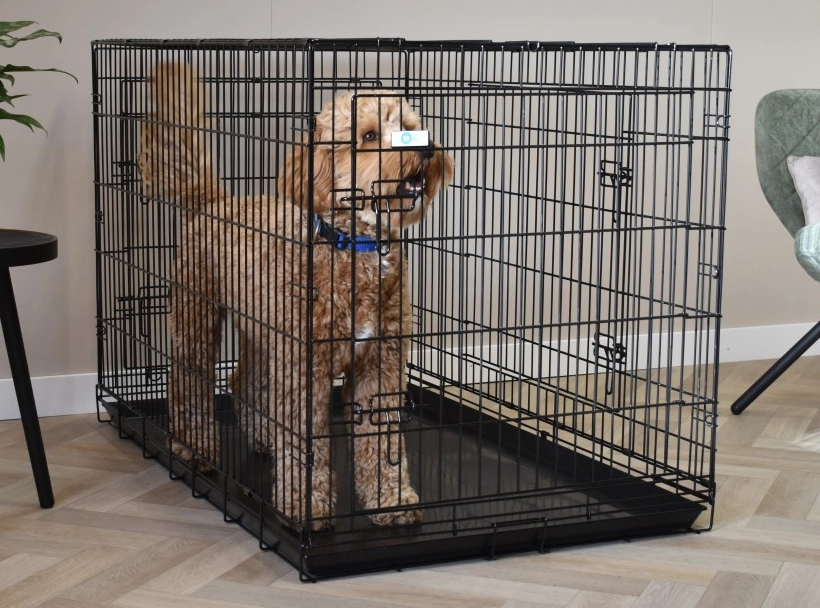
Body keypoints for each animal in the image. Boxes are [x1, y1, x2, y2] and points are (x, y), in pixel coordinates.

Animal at [138, 63, 454, 530]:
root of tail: (216, 201)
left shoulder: (380, 364)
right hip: (197, 316)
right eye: (369, 135)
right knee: (189, 384)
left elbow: (381, 442)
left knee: (244, 381)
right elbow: (307, 445)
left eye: (412, 127)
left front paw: (389, 499)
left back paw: (263, 436)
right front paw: (306, 507)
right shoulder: (307, 369)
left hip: (262, 331)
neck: (354, 245)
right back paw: (195, 448)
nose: (427, 150)